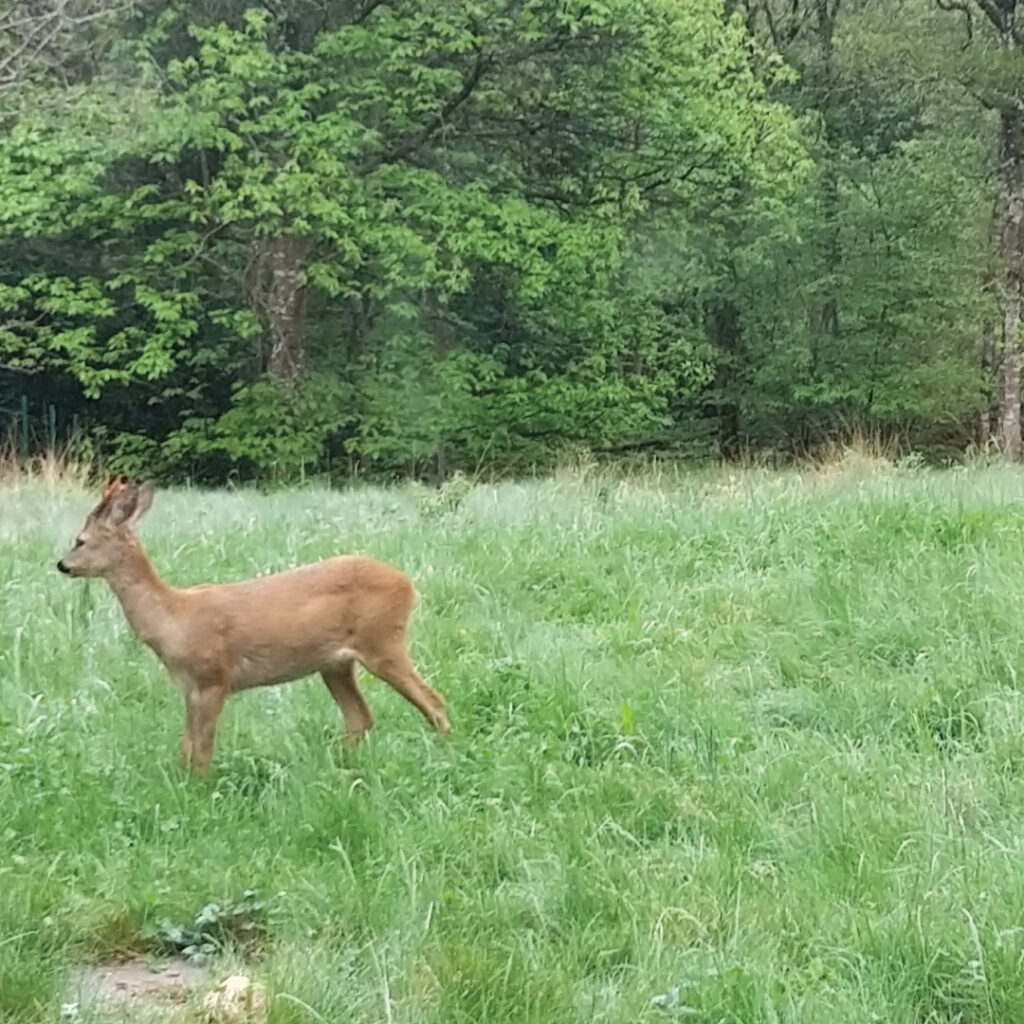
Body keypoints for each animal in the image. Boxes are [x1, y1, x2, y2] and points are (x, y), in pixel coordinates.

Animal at [56, 475, 448, 770]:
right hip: (335, 664)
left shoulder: (214, 677)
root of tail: (408, 585)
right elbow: (186, 748)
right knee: (360, 718)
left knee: (434, 701)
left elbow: (202, 750)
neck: (174, 616)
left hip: (383, 641)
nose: (61, 564)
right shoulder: (188, 686)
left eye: (81, 540)